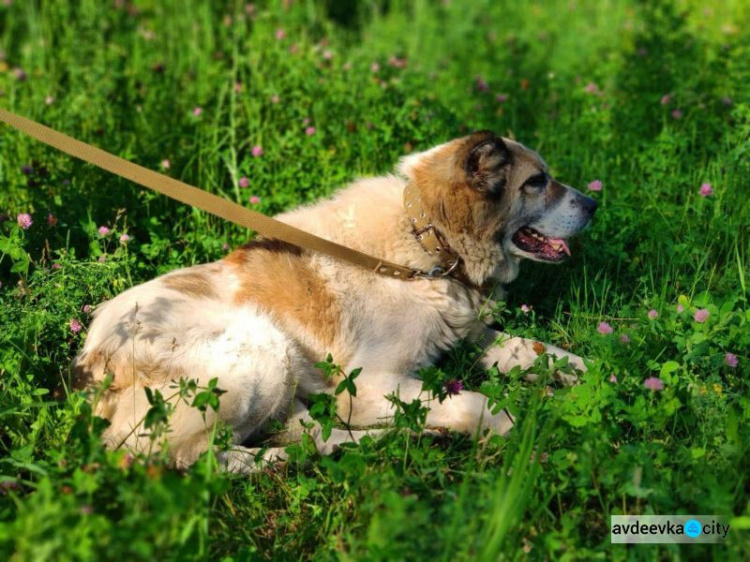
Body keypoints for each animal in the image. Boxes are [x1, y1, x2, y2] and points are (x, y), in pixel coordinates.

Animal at [72, 130, 600, 468]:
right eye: (536, 183)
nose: (596, 203)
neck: (425, 241)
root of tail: (91, 368)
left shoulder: (472, 334)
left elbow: (537, 350)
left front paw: (595, 374)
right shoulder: (367, 386)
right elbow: (476, 402)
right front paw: (524, 427)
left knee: (308, 433)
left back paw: (397, 439)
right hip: (260, 349)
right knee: (206, 461)